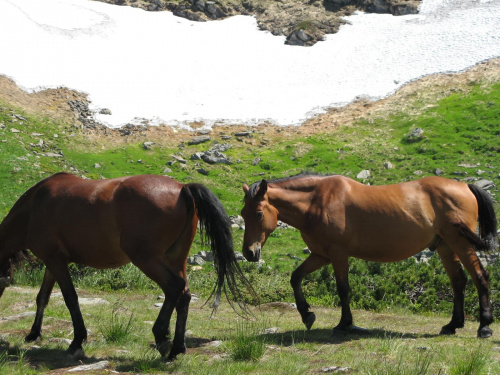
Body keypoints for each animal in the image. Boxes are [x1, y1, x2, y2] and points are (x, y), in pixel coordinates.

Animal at [0, 173, 250, 362]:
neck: (34, 206)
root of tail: (182, 189)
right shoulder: (53, 263)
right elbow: (42, 297)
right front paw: (33, 334)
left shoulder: (56, 262)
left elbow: (70, 299)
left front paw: (77, 341)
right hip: (175, 258)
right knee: (184, 295)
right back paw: (177, 348)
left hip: (146, 258)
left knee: (174, 287)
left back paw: (162, 338)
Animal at [240, 175, 498, 340]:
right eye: (243, 213)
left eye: (259, 213)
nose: (249, 253)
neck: (317, 202)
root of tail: (465, 186)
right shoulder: (321, 255)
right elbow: (295, 277)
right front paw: (307, 315)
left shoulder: (338, 254)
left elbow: (343, 289)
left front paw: (344, 324)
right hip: (445, 246)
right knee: (459, 282)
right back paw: (452, 325)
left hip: (460, 243)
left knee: (480, 277)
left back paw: (484, 327)